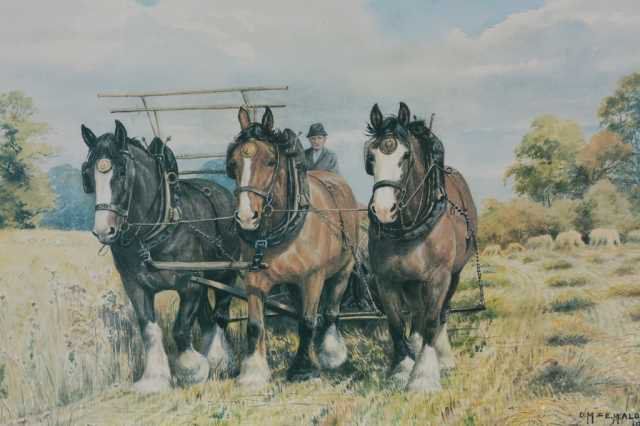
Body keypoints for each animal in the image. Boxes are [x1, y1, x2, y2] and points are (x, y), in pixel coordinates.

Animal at [80, 120, 239, 393]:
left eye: (121, 172)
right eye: (88, 173)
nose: (103, 230)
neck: (156, 228)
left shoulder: (189, 285)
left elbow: (180, 329)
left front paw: (192, 371)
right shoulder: (136, 286)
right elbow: (149, 329)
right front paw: (153, 379)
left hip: (224, 273)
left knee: (220, 314)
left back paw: (220, 360)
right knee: (208, 318)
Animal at [226, 107, 359, 387]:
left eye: (269, 161)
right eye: (233, 163)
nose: (246, 217)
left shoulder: (313, 277)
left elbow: (308, 321)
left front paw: (303, 369)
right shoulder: (254, 279)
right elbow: (255, 325)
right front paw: (253, 372)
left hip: (343, 270)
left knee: (330, 311)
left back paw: (330, 353)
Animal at [364, 102, 478, 392]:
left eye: (405, 156)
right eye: (370, 156)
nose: (383, 210)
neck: (409, 228)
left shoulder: (439, 277)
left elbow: (431, 320)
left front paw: (424, 376)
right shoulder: (386, 280)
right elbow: (396, 324)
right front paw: (402, 369)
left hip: (454, 275)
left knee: (441, 313)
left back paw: (444, 358)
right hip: (412, 282)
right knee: (415, 314)